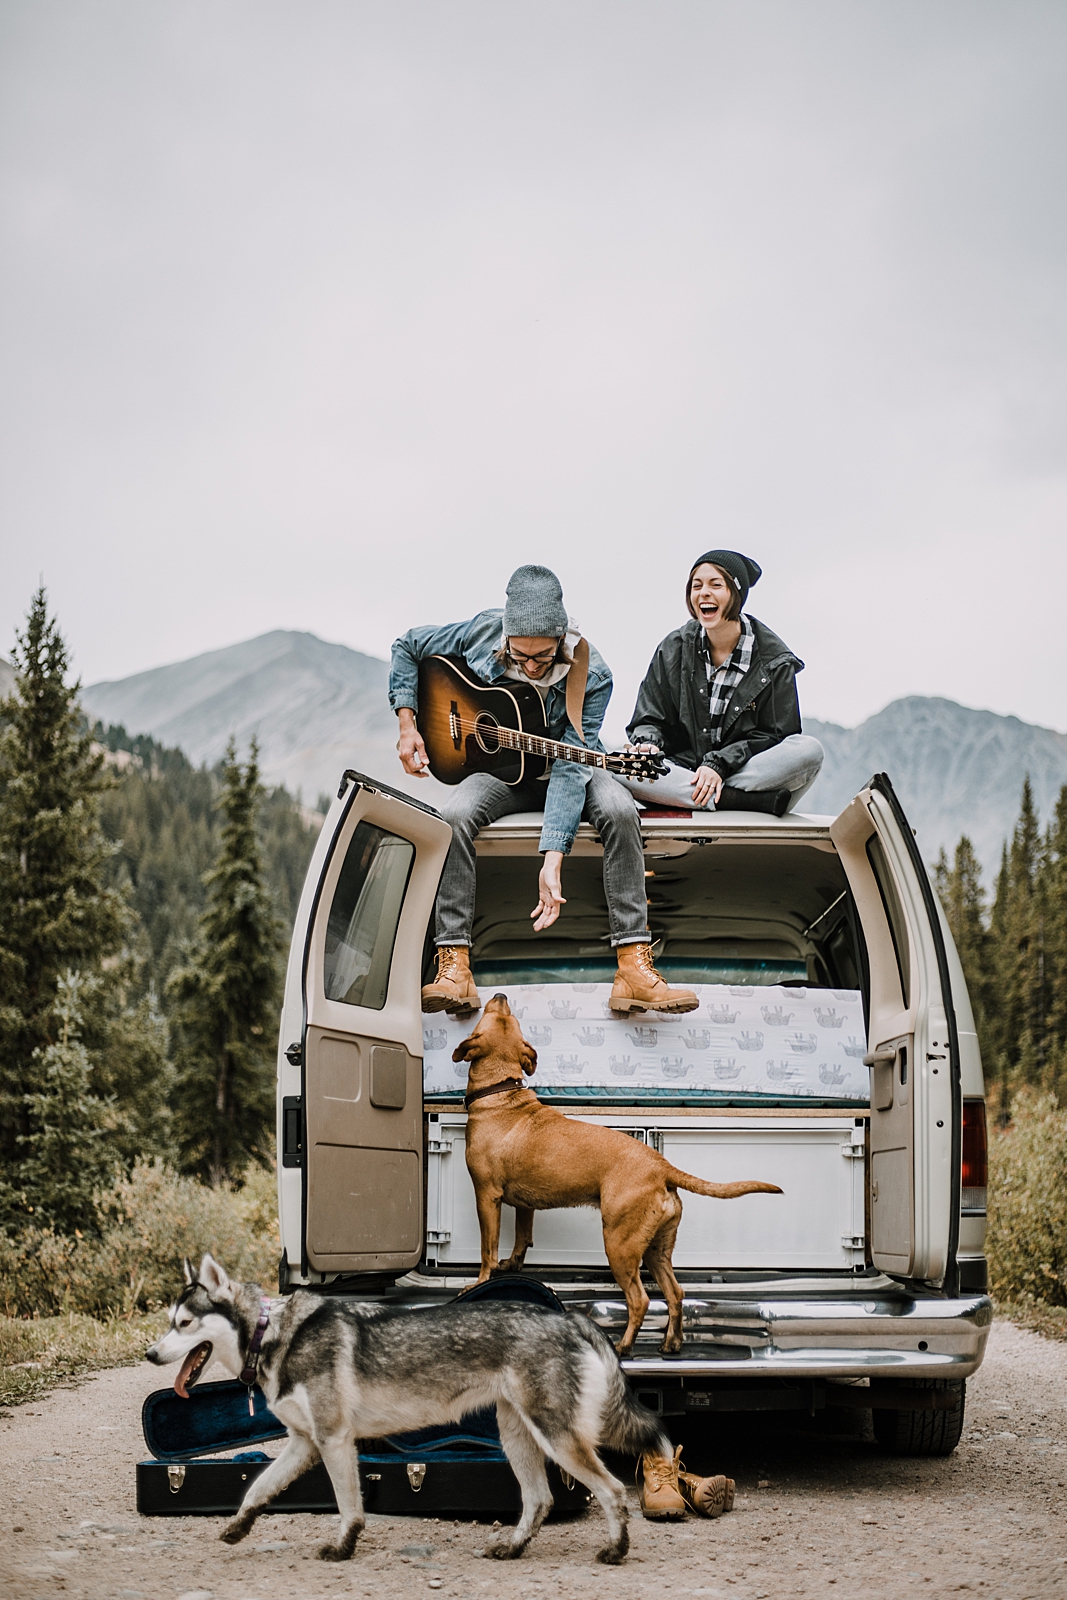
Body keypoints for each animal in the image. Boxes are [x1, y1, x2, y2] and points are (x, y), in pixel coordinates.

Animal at [146, 1248, 671, 1561]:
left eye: (185, 1323)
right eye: (171, 1321)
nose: (150, 1354)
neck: (272, 1335)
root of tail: (568, 1319)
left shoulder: (334, 1441)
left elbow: (348, 1506)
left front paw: (343, 1548)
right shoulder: (304, 1445)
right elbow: (255, 1489)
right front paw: (238, 1528)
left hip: (556, 1438)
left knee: (612, 1491)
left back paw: (616, 1551)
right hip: (517, 1437)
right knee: (539, 1500)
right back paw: (513, 1548)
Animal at [454, 998, 783, 1350]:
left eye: (493, 1016)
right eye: (508, 1017)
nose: (501, 995)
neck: (501, 1094)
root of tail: (661, 1167)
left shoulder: (486, 1196)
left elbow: (487, 1249)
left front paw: (479, 1282)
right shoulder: (524, 1205)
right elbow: (521, 1238)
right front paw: (513, 1266)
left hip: (619, 1245)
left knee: (640, 1299)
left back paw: (624, 1346)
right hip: (655, 1250)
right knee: (675, 1293)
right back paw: (671, 1343)